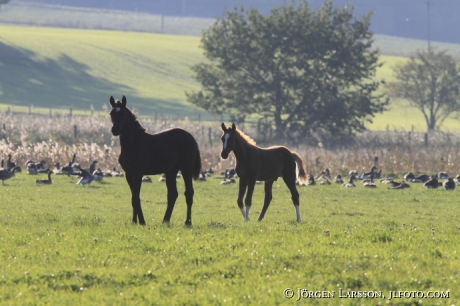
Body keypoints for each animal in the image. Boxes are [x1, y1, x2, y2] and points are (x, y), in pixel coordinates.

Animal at [109, 97, 201, 226]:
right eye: (111, 113)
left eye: (122, 114)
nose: (115, 130)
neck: (134, 144)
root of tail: (192, 138)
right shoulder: (128, 174)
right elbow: (133, 197)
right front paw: (134, 221)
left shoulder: (138, 174)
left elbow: (136, 198)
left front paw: (142, 222)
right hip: (171, 171)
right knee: (173, 194)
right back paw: (165, 220)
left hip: (186, 169)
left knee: (188, 193)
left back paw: (187, 222)